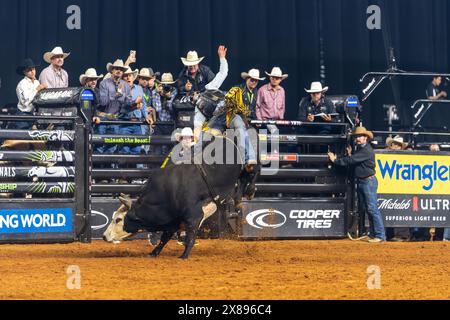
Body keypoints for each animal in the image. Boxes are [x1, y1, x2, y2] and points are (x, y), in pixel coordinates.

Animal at [103, 136, 260, 260]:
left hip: (246, 163)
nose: (104, 236)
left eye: (118, 219)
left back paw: (246, 194)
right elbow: (164, 238)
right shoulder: (174, 220)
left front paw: (184, 255)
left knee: (252, 170)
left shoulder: (194, 216)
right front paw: (153, 252)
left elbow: (190, 235)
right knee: (244, 177)